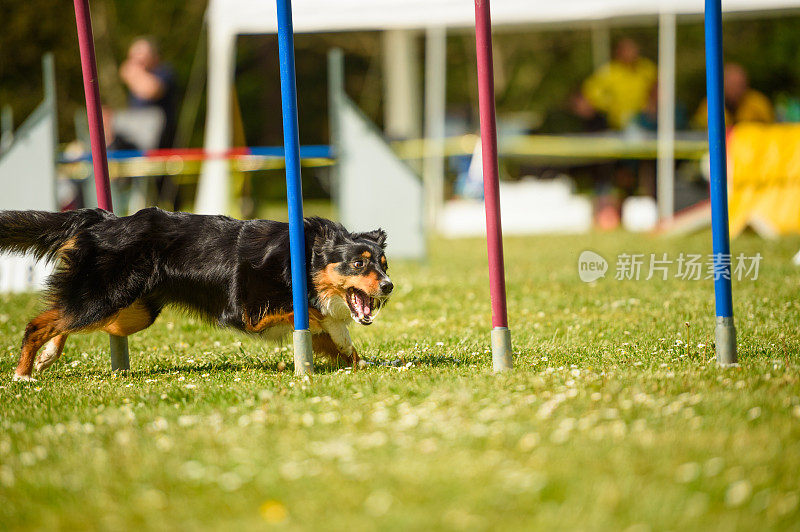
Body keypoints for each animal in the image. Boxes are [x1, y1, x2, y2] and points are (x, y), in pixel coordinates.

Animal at [0, 207, 394, 378]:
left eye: (384, 264)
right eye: (358, 264)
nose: (389, 286)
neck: (303, 257)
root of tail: (103, 219)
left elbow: (340, 342)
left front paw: (368, 362)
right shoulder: (250, 313)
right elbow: (320, 315)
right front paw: (342, 332)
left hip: (131, 312)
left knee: (69, 319)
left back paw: (47, 357)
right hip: (104, 296)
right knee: (40, 323)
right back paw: (24, 374)